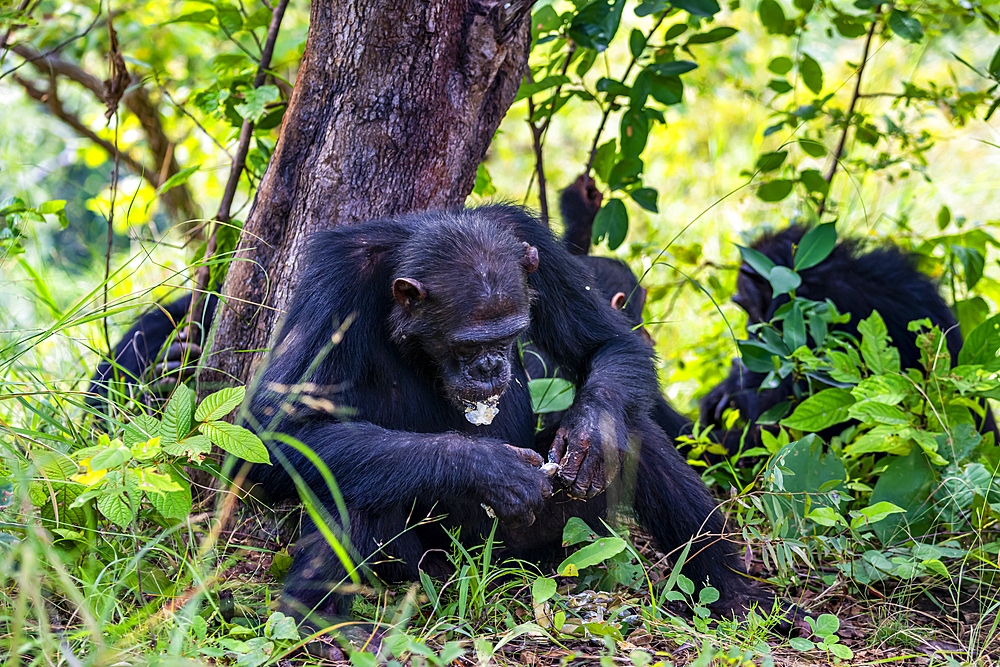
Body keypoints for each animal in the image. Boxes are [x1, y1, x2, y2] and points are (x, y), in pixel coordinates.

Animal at [242, 206, 788, 636]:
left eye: (509, 335)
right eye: (468, 345)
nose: (490, 365)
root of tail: (505, 574)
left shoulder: (532, 240)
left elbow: (609, 343)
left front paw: (590, 435)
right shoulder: (334, 281)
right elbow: (276, 428)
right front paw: (488, 468)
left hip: (564, 541)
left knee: (637, 433)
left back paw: (734, 594)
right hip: (428, 566)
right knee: (348, 473)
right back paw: (320, 626)